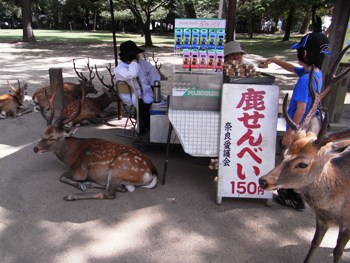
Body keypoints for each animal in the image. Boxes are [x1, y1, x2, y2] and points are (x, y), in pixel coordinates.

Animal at [258, 43, 350, 263]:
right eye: (285, 153)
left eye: (303, 164)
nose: (263, 181)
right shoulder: (322, 219)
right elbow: (315, 242)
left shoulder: (347, 225)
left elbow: (337, 251)